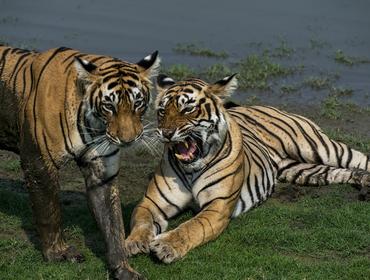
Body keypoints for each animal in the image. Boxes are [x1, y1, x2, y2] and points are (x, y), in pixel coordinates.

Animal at [0, 44, 160, 278]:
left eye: (137, 103)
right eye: (109, 106)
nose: (128, 140)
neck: (94, 124)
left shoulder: (102, 172)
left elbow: (114, 225)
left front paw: (123, 269)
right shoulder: (38, 163)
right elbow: (50, 212)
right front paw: (57, 253)